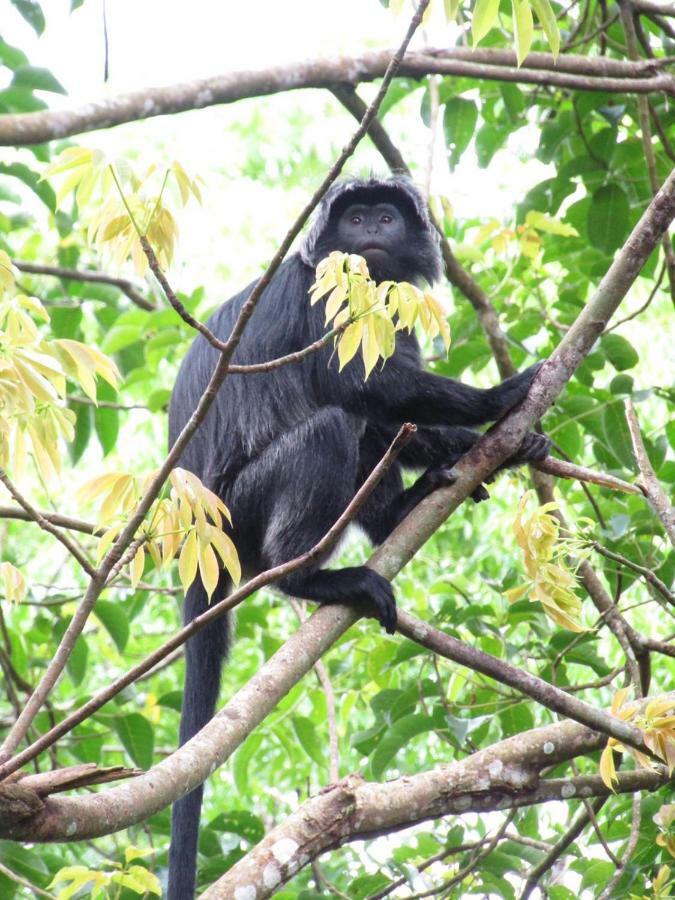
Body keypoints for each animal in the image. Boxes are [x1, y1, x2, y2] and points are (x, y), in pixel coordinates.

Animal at [168, 174, 548, 892]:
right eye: (356, 219)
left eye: (385, 218)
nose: (370, 225)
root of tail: (199, 545)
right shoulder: (326, 290)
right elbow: (361, 383)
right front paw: (499, 398)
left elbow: (390, 408)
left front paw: (503, 445)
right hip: (243, 509)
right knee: (334, 423)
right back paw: (312, 576)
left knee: (366, 428)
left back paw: (403, 512)